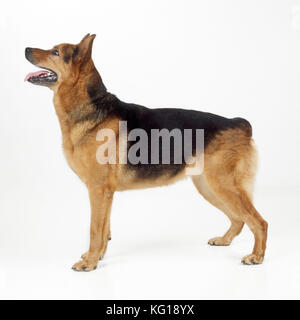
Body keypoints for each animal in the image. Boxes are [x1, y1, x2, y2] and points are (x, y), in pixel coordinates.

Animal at [25, 33, 268, 272]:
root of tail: (239, 123)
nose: (26, 49)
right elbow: (104, 230)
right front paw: (98, 257)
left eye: (55, 52)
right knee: (239, 220)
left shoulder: (98, 190)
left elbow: (95, 230)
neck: (91, 108)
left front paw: (90, 263)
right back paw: (224, 240)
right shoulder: (106, 194)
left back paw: (256, 257)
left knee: (259, 222)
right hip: (209, 188)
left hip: (222, 186)